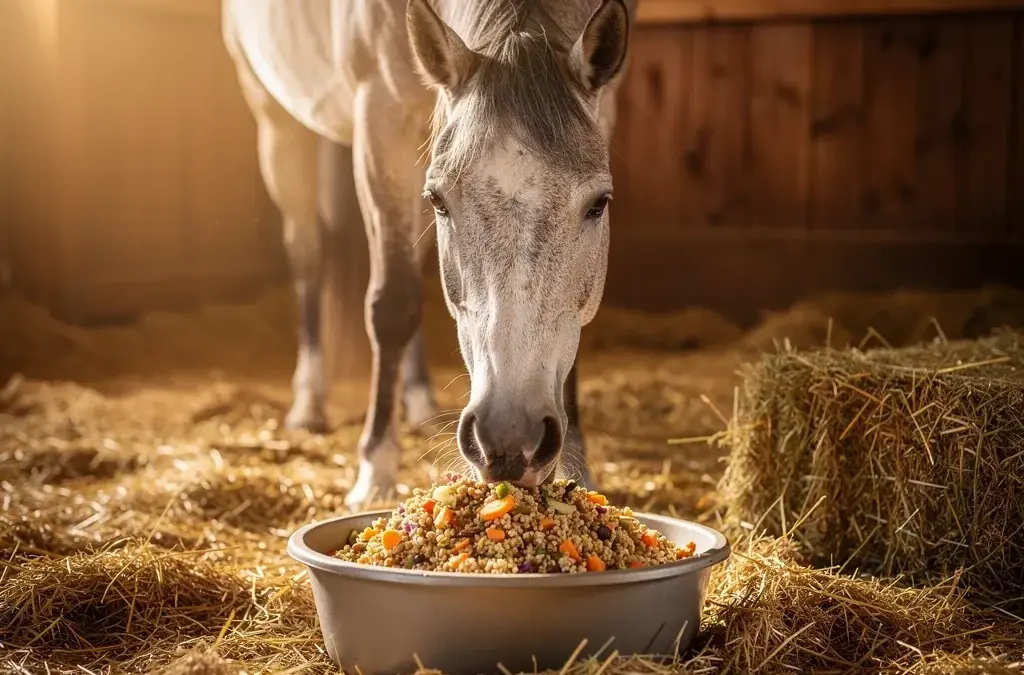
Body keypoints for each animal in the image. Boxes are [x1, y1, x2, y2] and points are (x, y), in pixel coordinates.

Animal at [223, 0, 635, 508]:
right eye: (440, 201)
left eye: (599, 204)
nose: (509, 438)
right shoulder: (381, 120)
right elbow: (392, 304)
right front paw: (375, 468)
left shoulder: (606, 105)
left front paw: (579, 465)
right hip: (276, 120)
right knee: (308, 255)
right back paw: (308, 402)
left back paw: (418, 397)